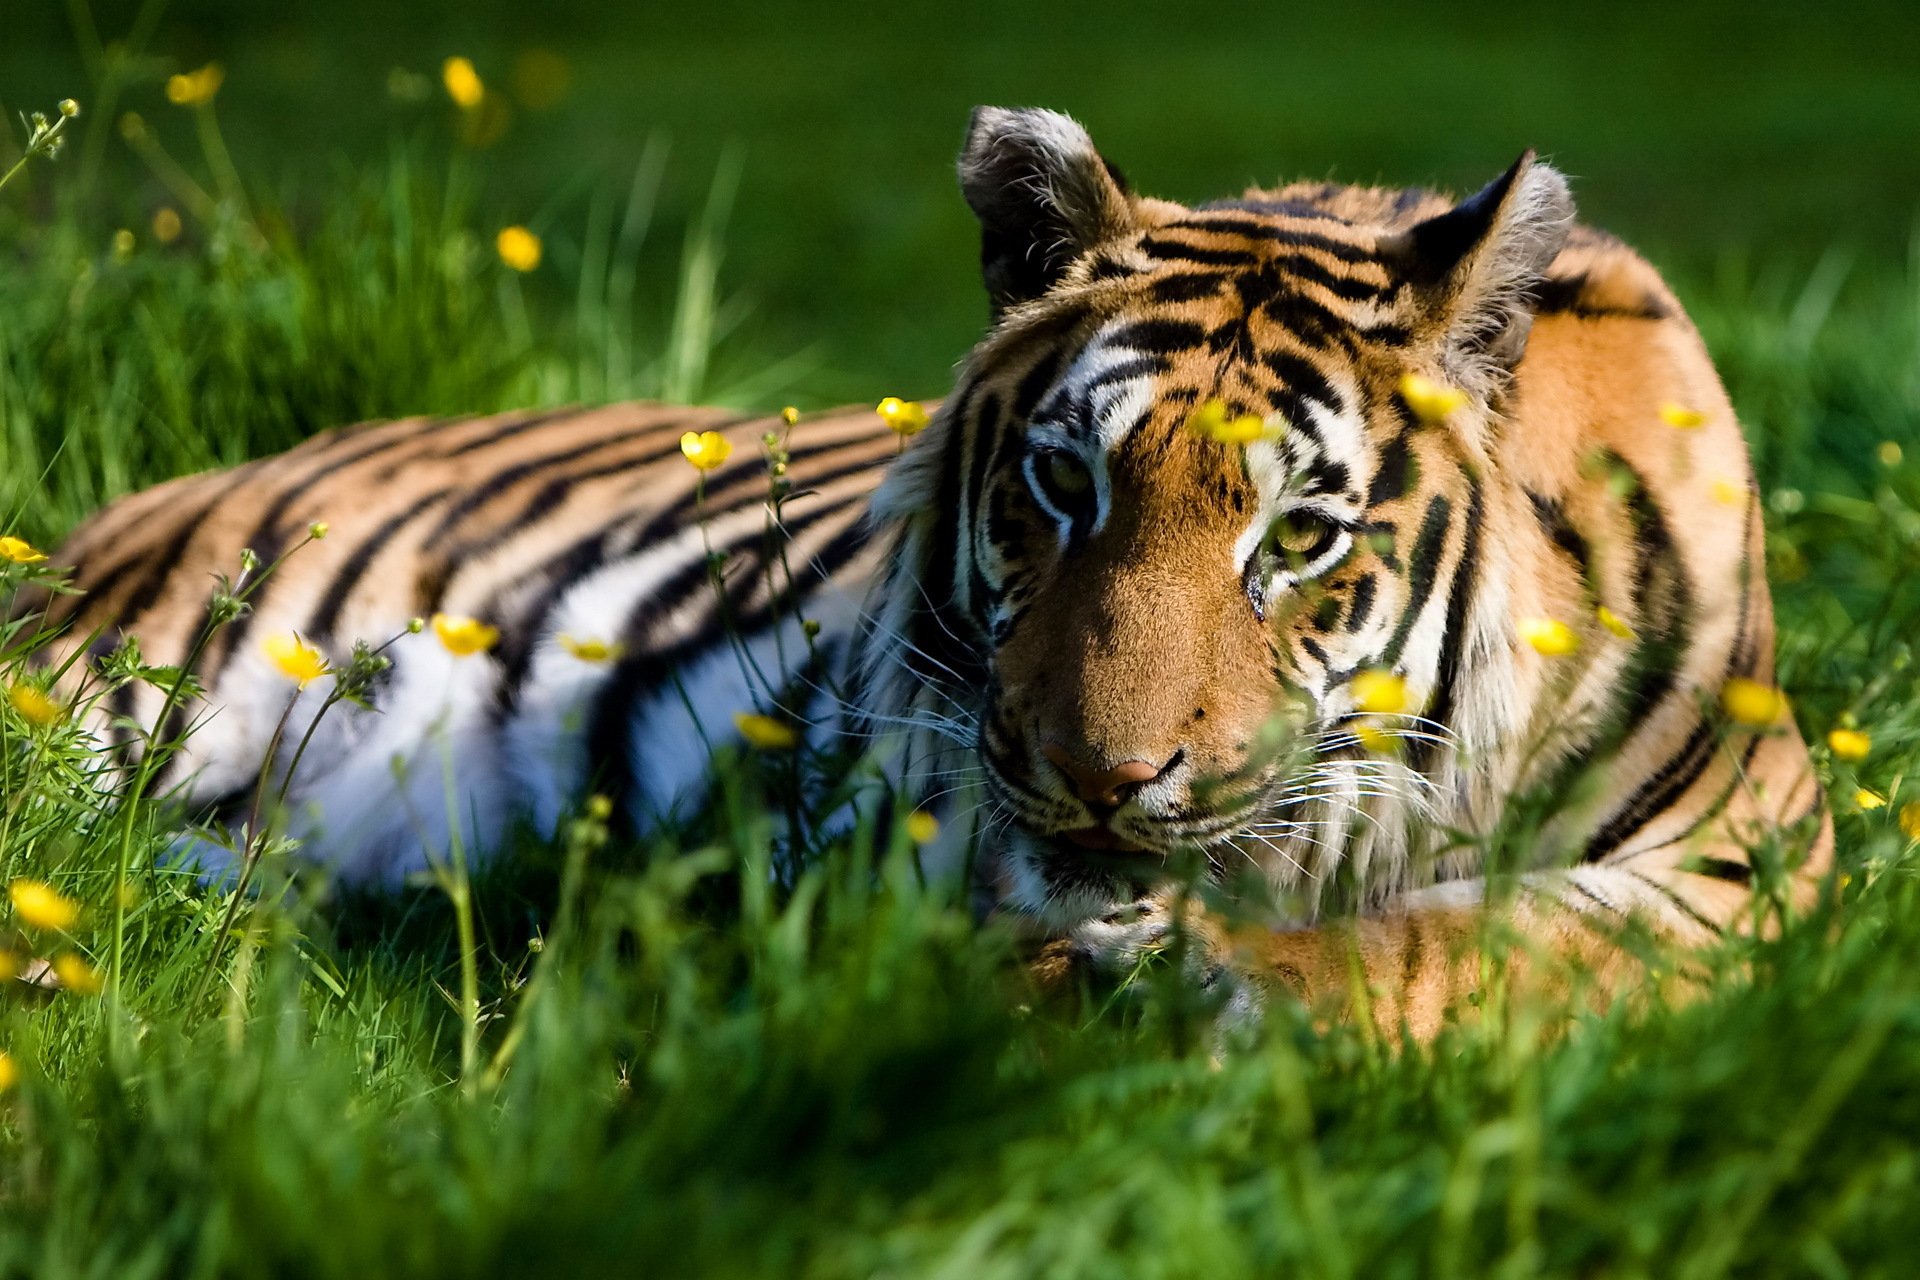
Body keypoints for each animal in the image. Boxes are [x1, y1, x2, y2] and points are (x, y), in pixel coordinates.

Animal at [18, 107, 1831, 1034]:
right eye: (1063, 483)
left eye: (1300, 540)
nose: (1105, 778)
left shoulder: (1744, 870)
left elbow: (1462, 947)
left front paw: (1200, 983)